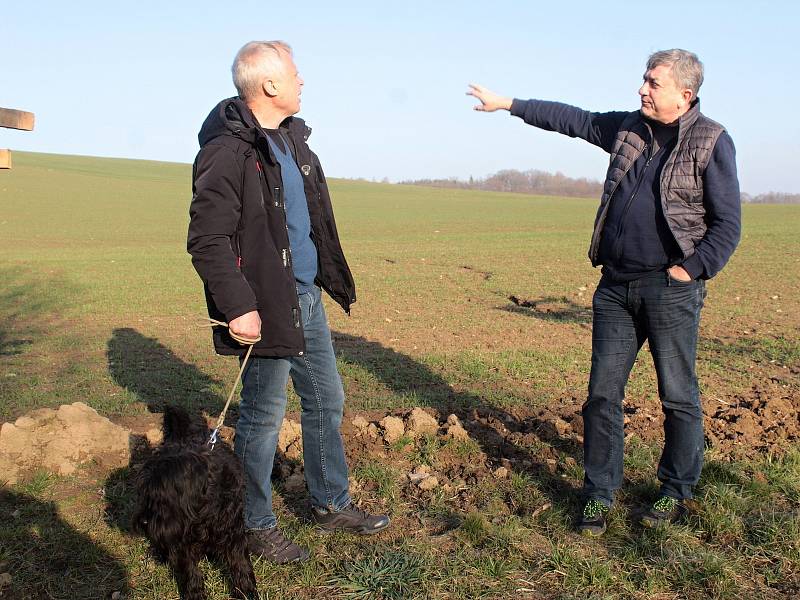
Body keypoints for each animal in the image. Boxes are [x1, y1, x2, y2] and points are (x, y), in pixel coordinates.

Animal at [131, 408, 256, 600]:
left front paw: (247, 591)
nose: (144, 522)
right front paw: (195, 593)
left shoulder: (232, 529)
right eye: (143, 493)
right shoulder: (181, 541)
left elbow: (240, 562)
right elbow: (190, 570)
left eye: (163, 497)